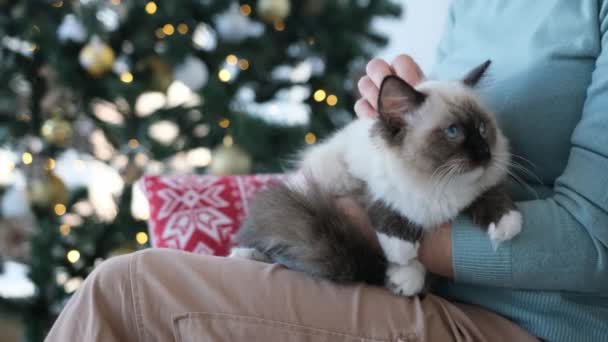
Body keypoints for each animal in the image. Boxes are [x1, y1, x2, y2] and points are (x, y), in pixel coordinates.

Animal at [230, 61, 520, 296]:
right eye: (453, 132)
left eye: (482, 128)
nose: (485, 153)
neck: (437, 185)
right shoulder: (351, 178)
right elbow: (379, 201)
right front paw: (402, 257)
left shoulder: (480, 188)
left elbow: (490, 194)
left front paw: (508, 224)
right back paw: (246, 254)